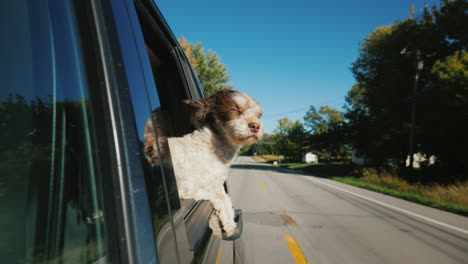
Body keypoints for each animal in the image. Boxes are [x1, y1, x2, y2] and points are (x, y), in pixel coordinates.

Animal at [144, 90, 264, 237]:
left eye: (257, 115)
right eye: (234, 109)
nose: (256, 126)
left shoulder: (216, 183)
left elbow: (225, 198)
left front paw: (229, 223)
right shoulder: (185, 187)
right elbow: (217, 196)